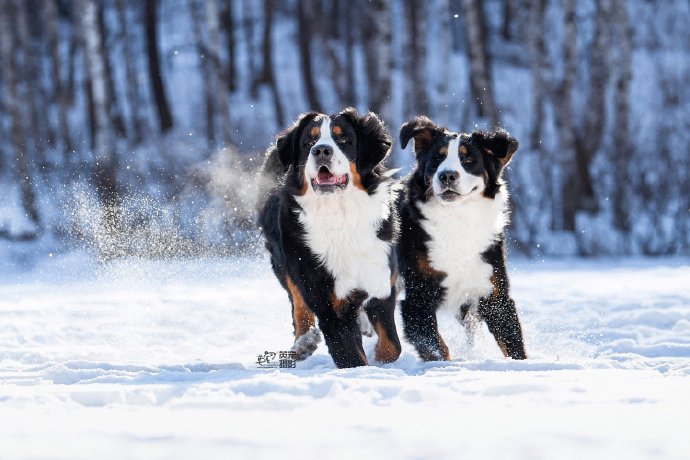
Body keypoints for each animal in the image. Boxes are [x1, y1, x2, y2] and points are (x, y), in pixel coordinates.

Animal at [255, 106, 400, 368]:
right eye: (308, 142)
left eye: (343, 139)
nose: (321, 150)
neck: (339, 215)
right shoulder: (329, 304)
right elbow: (352, 356)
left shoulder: (382, 282)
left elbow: (392, 345)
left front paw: (378, 354)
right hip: (284, 262)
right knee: (299, 306)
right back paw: (304, 344)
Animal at [396, 117, 524, 362]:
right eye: (437, 158)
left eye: (468, 160)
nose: (447, 175)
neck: (457, 219)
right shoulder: (418, 297)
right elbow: (436, 347)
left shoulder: (494, 293)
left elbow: (514, 344)